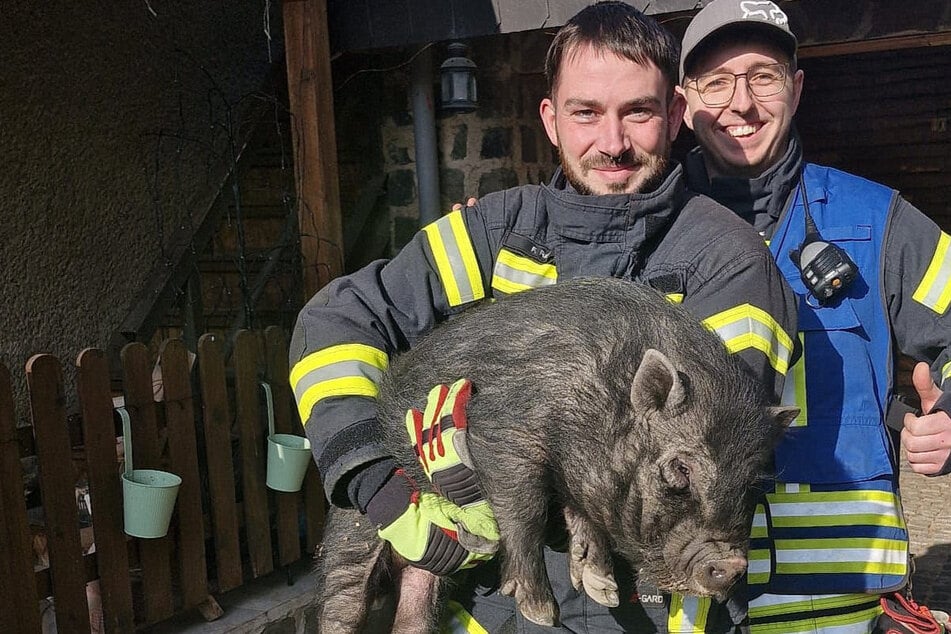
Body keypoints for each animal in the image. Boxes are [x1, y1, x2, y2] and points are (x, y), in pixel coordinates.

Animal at [316, 278, 800, 632]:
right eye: (680, 468)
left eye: (754, 482)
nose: (733, 563)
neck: (598, 393)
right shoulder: (503, 433)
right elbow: (524, 510)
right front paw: (541, 613)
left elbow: (581, 514)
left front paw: (600, 588)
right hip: (353, 531)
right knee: (342, 597)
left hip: (428, 579)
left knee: (415, 615)